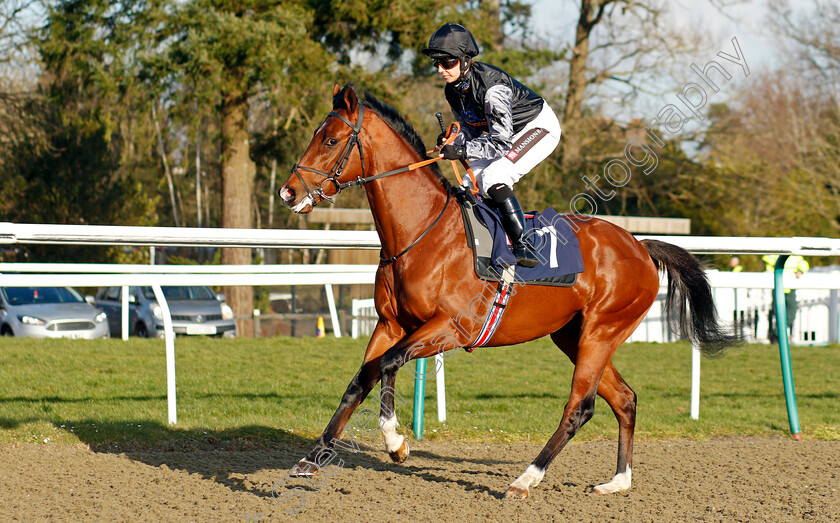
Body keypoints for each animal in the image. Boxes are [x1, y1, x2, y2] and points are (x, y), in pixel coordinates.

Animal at [278, 84, 736, 502]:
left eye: (331, 139)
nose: (288, 192)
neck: (421, 233)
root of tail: (640, 246)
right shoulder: (390, 324)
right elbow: (360, 381)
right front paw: (312, 457)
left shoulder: (450, 328)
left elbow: (389, 364)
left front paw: (395, 443)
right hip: (574, 335)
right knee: (624, 398)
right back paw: (617, 481)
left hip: (602, 331)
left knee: (580, 407)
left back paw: (526, 479)